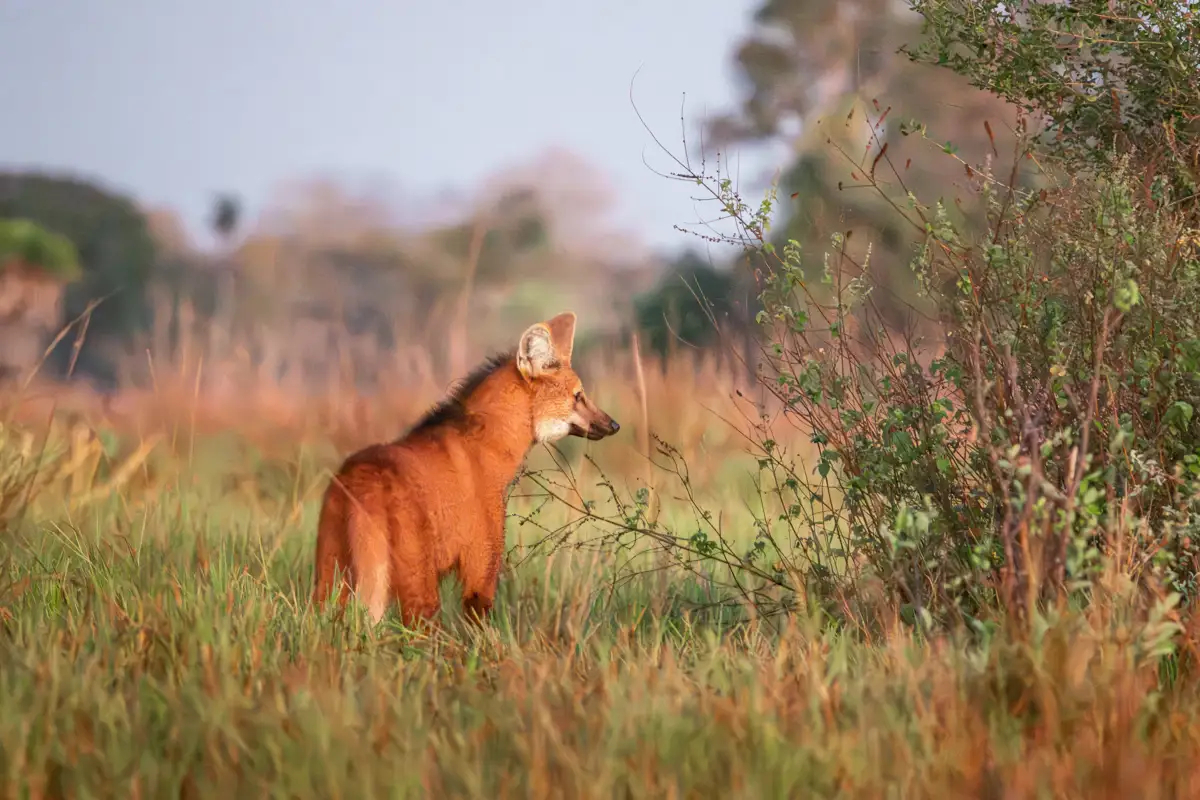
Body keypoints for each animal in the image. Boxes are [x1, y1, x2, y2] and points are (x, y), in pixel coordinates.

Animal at [309, 309, 619, 628]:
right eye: (578, 396)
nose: (613, 425)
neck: (487, 444)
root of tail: (359, 476)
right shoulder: (481, 567)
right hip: (417, 589)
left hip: (329, 577)